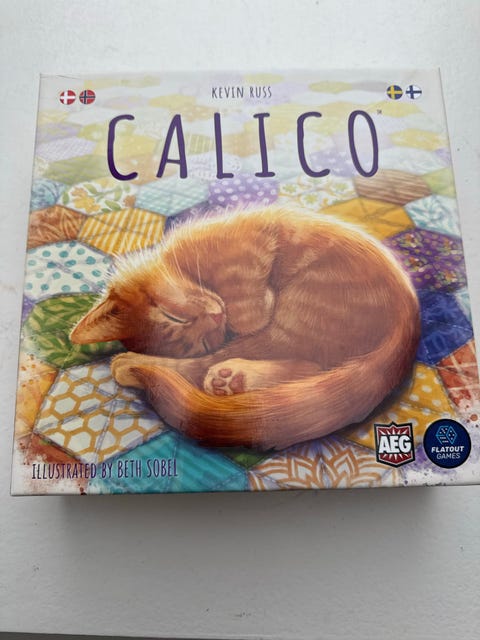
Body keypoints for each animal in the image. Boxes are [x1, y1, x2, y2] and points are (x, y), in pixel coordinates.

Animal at [70, 205, 421, 451]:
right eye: (197, 339)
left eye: (173, 316)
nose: (216, 318)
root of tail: (409, 321)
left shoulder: (249, 245)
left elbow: (246, 307)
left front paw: (251, 304)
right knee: (308, 366)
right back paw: (232, 381)